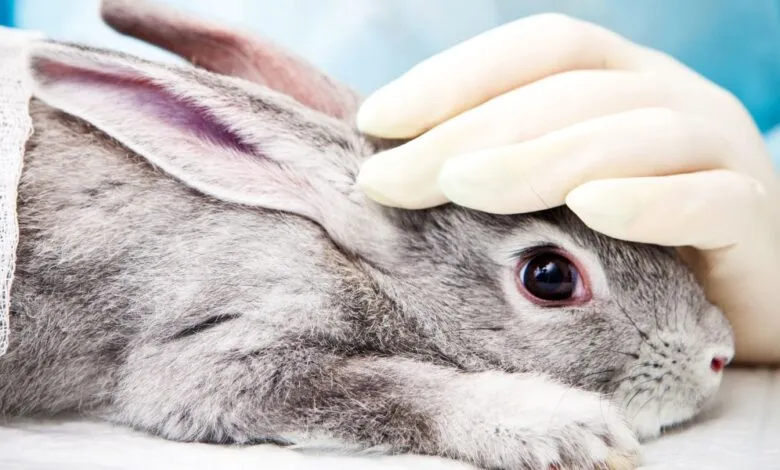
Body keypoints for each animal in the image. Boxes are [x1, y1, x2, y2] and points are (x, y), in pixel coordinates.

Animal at [0, 2, 734, 469]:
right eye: (549, 276)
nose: (719, 354)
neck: (354, 261)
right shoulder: (223, 348)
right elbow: (390, 388)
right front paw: (566, 428)